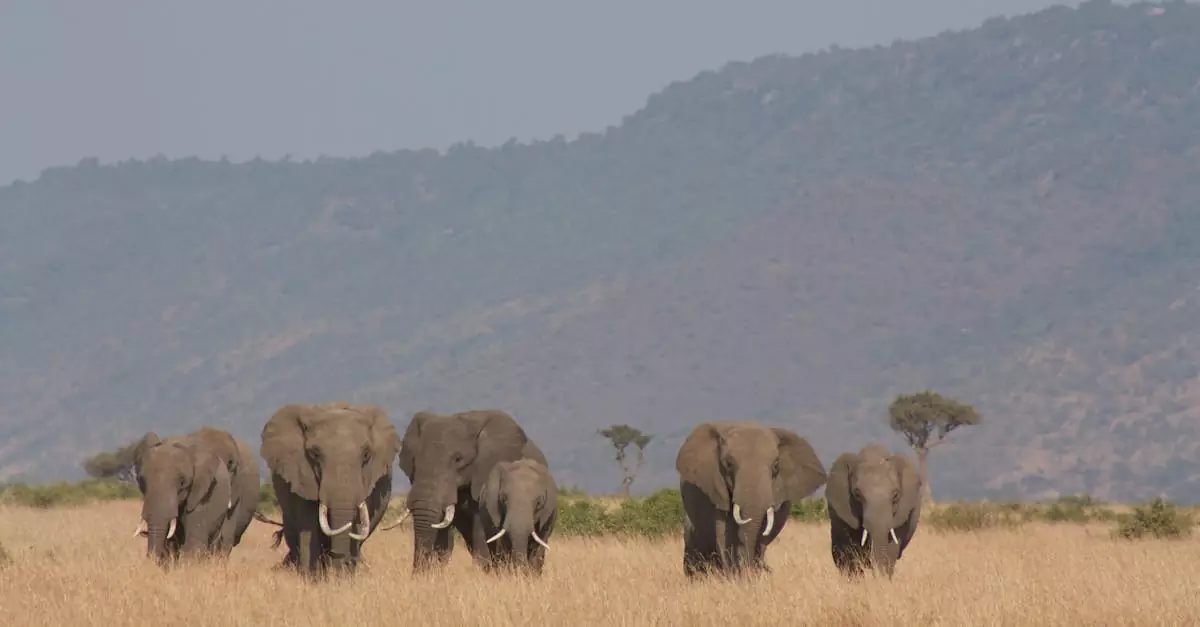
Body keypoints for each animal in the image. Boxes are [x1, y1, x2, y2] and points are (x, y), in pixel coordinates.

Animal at [260, 402, 401, 576]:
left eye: (366, 454)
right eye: (314, 454)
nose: (340, 562)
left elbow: (356, 525)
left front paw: (345, 576)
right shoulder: (301, 476)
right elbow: (308, 527)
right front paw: (312, 577)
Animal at [676, 421, 828, 578]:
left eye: (776, 465)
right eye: (728, 464)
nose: (748, 568)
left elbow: (763, 531)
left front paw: (753, 575)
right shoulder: (716, 487)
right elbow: (723, 531)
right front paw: (734, 577)